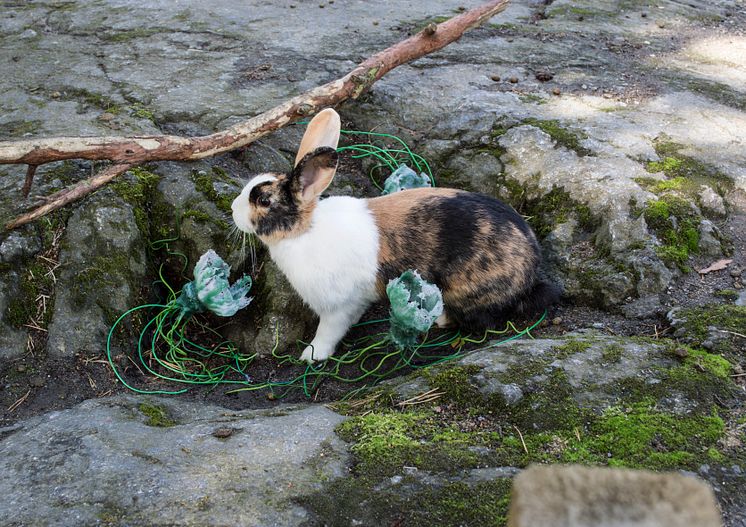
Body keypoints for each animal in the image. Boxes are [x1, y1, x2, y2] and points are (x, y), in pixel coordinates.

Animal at [230, 107, 556, 364]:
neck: (304, 231)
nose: (233, 210)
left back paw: (440, 318)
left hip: (466, 290)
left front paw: (311, 356)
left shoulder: (338, 306)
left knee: (481, 320)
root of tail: (530, 274)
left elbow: (328, 332)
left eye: (263, 200)